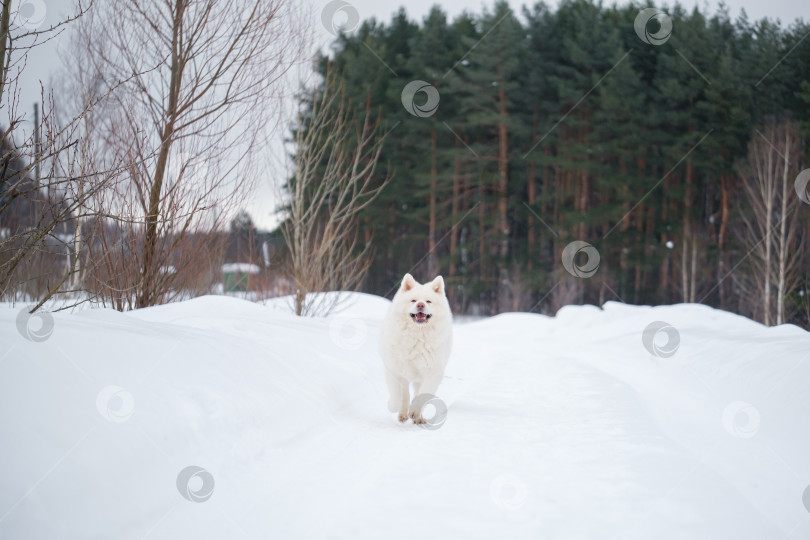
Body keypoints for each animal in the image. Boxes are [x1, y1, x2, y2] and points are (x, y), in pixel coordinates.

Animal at [378, 274, 452, 422]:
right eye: (413, 300)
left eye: (428, 301)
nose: (420, 304)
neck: (417, 336)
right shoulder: (395, 370)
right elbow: (397, 395)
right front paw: (393, 406)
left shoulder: (432, 373)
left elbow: (422, 396)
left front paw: (415, 412)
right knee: (404, 394)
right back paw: (402, 414)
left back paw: (417, 417)